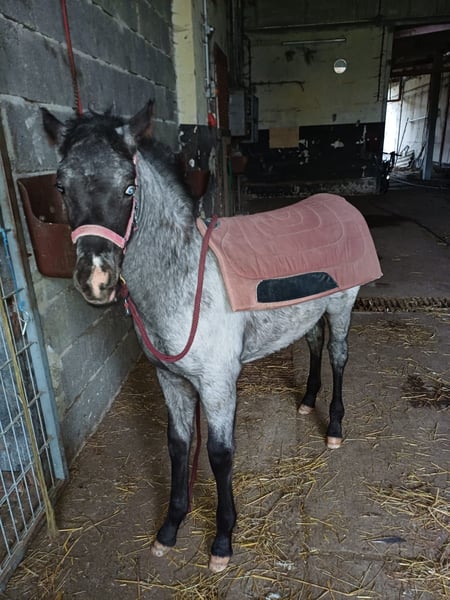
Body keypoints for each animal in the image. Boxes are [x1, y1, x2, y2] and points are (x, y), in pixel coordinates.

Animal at [42, 101, 380, 572]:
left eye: (129, 187)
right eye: (60, 185)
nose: (96, 280)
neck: (184, 280)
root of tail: (340, 202)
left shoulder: (219, 383)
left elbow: (220, 455)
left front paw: (222, 540)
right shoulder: (171, 380)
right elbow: (179, 446)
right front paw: (169, 528)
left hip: (342, 305)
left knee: (338, 356)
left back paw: (333, 427)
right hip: (309, 312)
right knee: (314, 346)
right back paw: (307, 400)